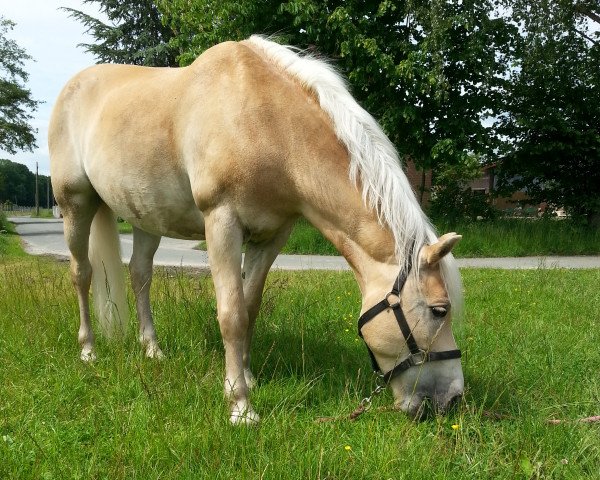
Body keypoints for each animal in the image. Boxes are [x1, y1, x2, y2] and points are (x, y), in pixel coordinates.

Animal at [50, 34, 464, 424]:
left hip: (145, 217)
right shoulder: (222, 223)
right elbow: (231, 313)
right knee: (82, 273)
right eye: (439, 310)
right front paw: (240, 406)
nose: (451, 400)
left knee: (140, 275)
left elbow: (250, 307)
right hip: (75, 205)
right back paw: (88, 350)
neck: (265, 123)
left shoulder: (272, 236)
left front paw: (246, 379)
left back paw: (152, 349)